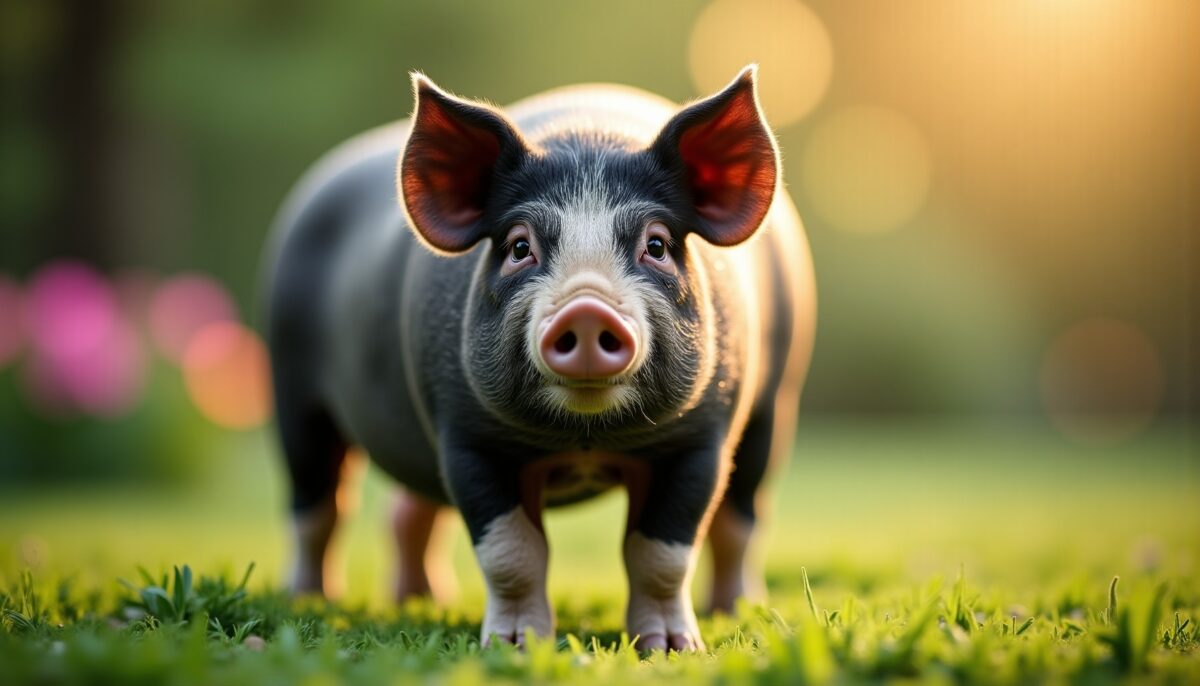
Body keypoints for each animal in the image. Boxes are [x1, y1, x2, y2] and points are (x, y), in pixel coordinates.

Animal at [262, 66, 815, 652]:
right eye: (519, 247)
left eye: (658, 246)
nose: (587, 309)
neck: (585, 442)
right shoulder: (465, 434)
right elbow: (511, 552)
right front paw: (516, 646)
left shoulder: (701, 437)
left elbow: (661, 554)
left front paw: (671, 649)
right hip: (291, 385)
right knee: (321, 506)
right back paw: (312, 602)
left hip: (775, 405)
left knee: (741, 519)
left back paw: (734, 610)